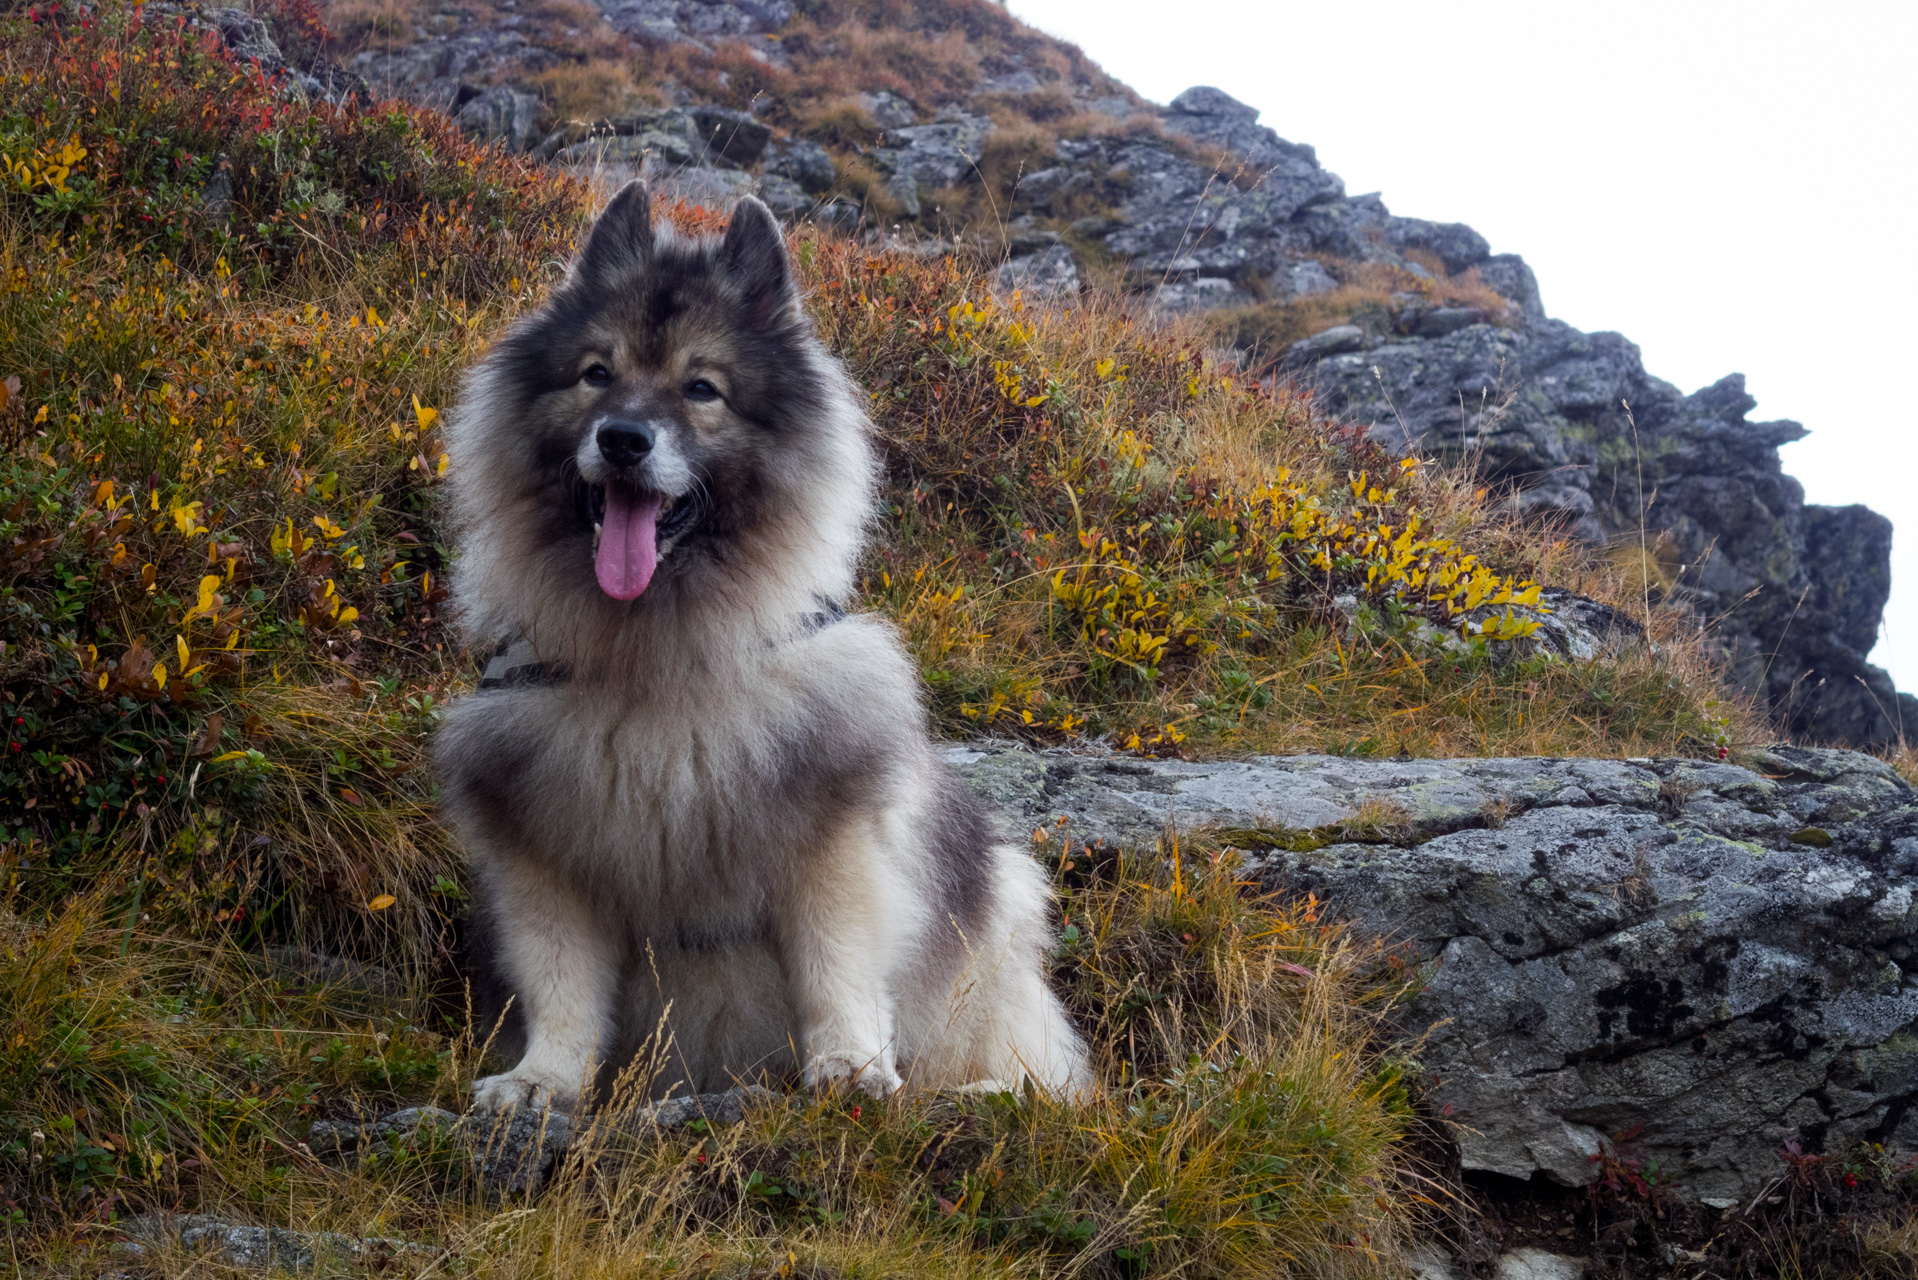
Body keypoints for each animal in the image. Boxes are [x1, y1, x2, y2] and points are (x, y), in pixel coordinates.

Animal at [439, 180, 1097, 1113]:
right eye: (597, 374)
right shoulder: (544, 859)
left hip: (992, 932)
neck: (660, 660)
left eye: (702, 388)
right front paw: (542, 1083)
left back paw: (986, 1095)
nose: (623, 439)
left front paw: (850, 1067)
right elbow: (560, 987)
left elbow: (836, 968)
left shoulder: (830, 840)